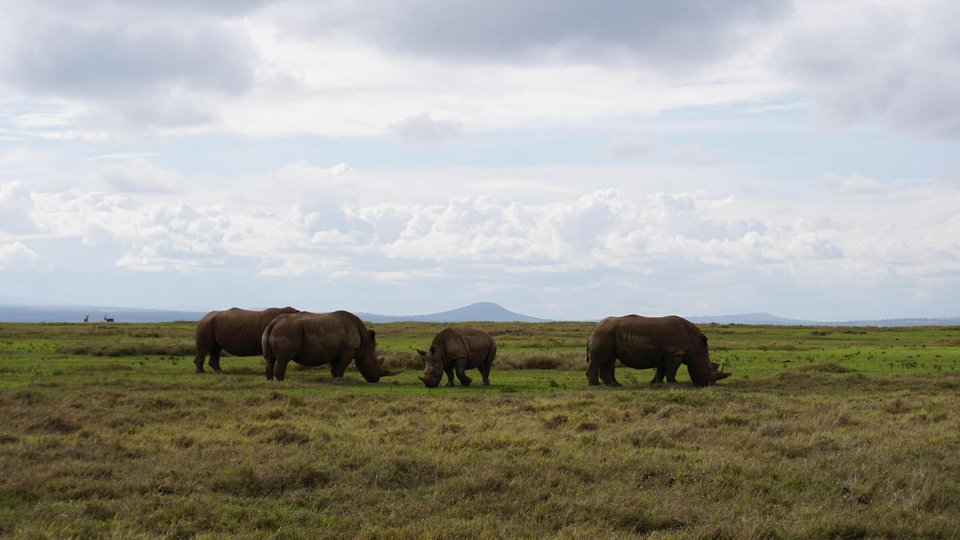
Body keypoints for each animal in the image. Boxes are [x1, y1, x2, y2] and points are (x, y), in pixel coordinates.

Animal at [261, 310, 402, 382]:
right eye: (375, 363)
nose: (376, 379)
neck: (365, 344)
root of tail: (273, 323)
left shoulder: (336, 350)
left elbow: (335, 367)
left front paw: (335, 379)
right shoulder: (349, 348)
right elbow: (341, 367)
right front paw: (341, 380)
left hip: (273, 331)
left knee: (269, 359)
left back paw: (270, 382)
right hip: (287, 331)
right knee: (283, 360)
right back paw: (281, 382)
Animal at [586, 315, 731, 387]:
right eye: (709, 370)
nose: (710, 384)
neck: (696, 346)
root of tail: (593, 328)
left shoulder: (666, 354)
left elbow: (661, 371)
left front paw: (656, 384)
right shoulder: (675, 353)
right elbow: (671, 371)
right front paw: (675, 384)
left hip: (606, 334)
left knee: (609, 360)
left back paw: (615, 385)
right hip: (603, 333)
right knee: (600, 359)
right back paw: (596, 385)